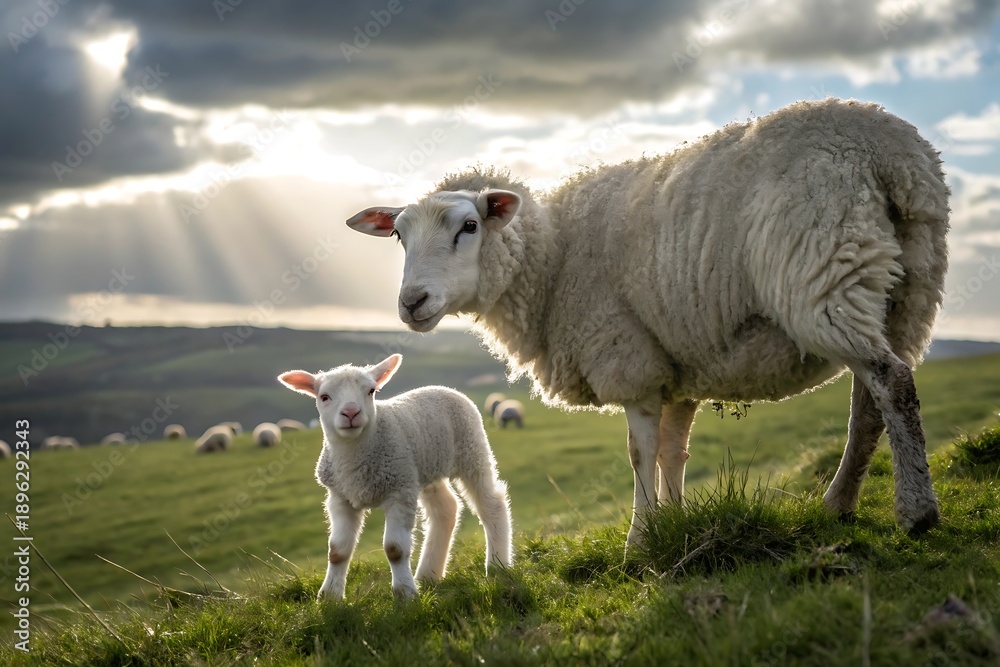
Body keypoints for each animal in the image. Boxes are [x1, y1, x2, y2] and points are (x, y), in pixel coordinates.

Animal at [279, 353, 512, 600]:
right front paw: (329, 598)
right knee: (446, 509)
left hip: (472, 451)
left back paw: (497, 566)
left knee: (492, 504)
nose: (351, 413)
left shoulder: (399, 491)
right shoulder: (340, 496)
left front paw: (405, 594)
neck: (355, 459)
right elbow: (337, 551)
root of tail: (443, 387)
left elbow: (395, 549)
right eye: (324, 397)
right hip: (424, 470)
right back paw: (428, 574)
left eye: (371, 391)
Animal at [348, 99, 950, 547]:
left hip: (823, 270)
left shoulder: (627, 356)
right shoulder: (677, 366)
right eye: (398, 234)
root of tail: (887, 150)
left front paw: (640, 539)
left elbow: (640, 453)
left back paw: (916, 512)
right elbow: (672, 451)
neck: (553, 256)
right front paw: (676, 522)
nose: (412, 302)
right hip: (909, 289)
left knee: (892, 382)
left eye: (469, 226)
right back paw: (840, 504)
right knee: (870, 402)